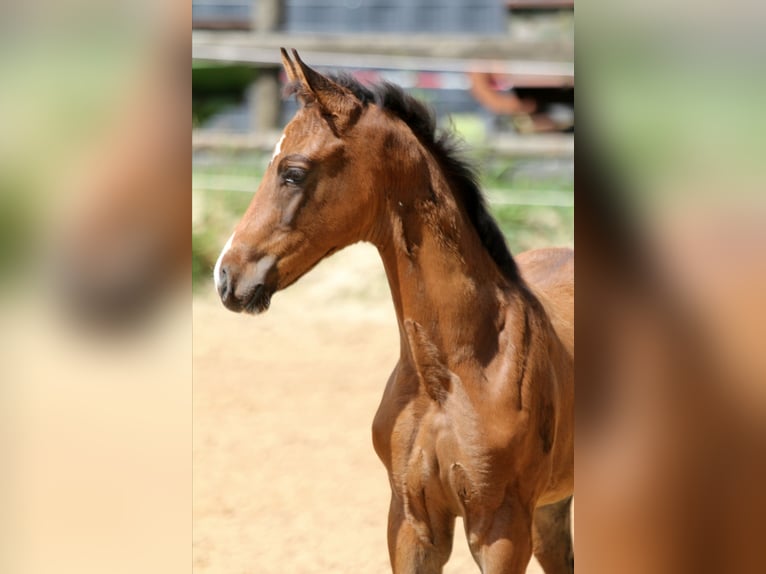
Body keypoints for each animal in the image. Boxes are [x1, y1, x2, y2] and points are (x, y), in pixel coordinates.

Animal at [214, 49, 574, 574]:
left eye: (293, 171)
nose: (226, 276)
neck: (452, 372)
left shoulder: (502, 530)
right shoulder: (410, 521)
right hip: (552, 508)